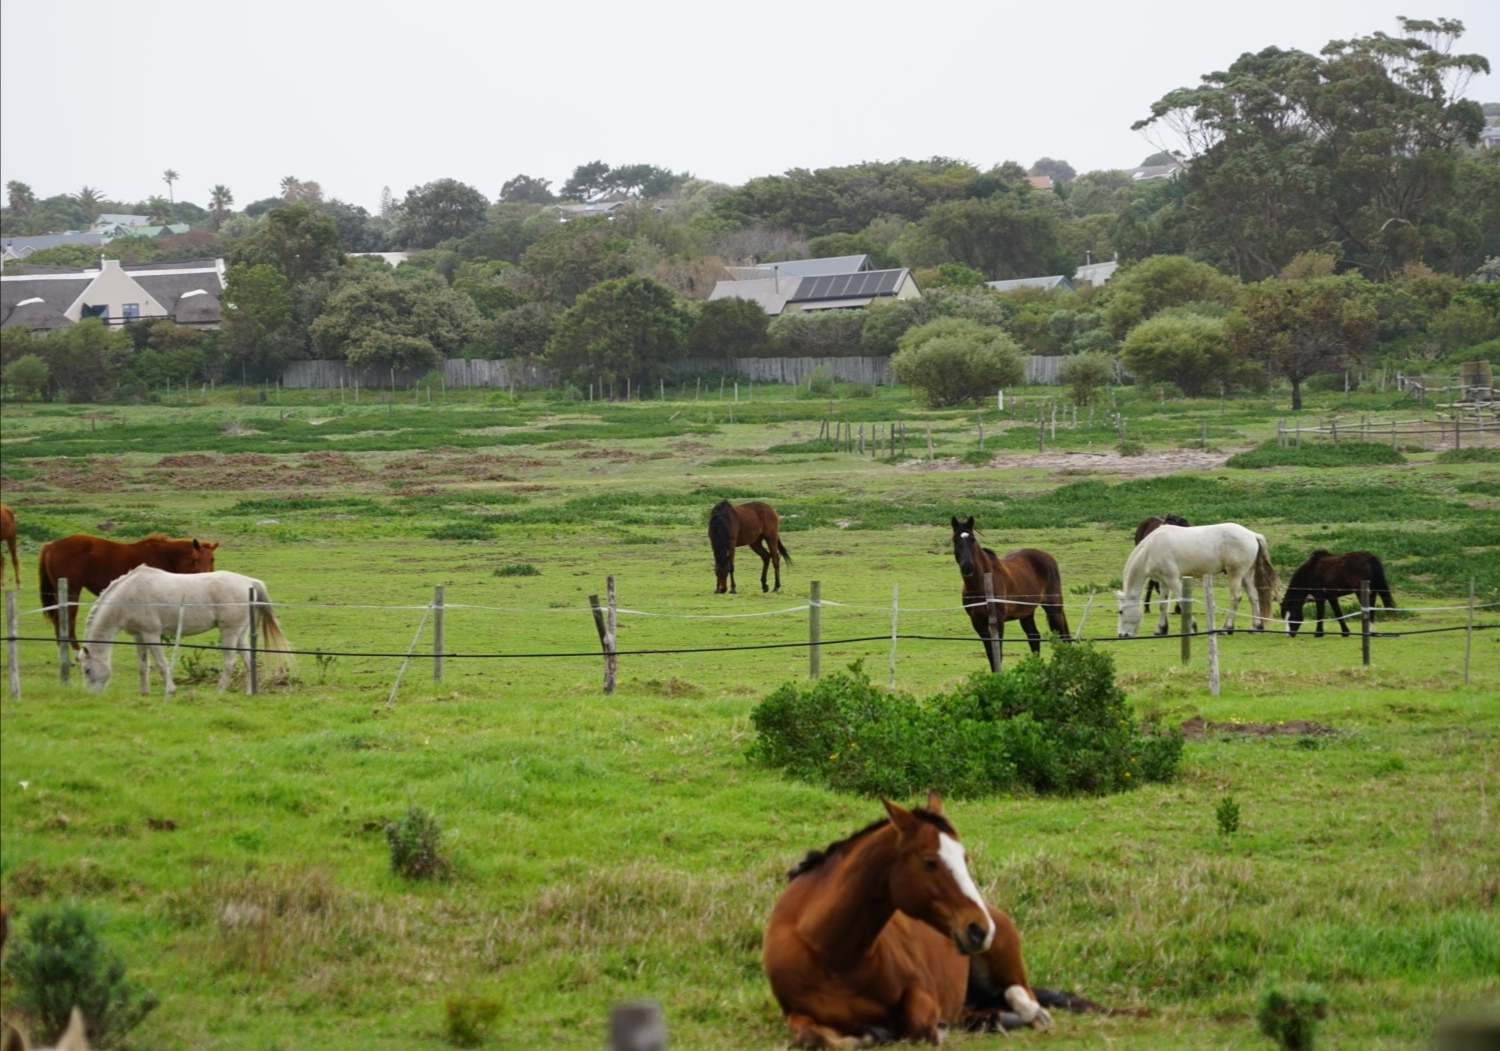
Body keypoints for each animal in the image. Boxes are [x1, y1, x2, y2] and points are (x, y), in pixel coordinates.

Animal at [40, 533, 219, 647]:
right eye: (196, 559)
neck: (165, 557)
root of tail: (52, 545)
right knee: (66, 621)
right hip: (71, 593)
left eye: (212, 559)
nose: (209, 577)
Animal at [79, 560, 292, 692]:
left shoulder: (151, 635)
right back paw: (249, 692)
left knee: (230, 663)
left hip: (229, 632)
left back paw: (218, 692)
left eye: (87, 670)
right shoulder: (138, 637)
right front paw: (144, 693)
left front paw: (171, 690)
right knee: (249, 662)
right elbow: (142, 666)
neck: (129, 594)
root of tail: (249, 582)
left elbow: (161, 664)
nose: (90, 695)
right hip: (240, 635)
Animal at [768, 791, 1110, 1043]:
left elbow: (921, 1027)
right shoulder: (796, 1014)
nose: (980, 929)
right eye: (929, 862)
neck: (835, 956)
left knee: (1023, 998)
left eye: (964, 858)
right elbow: (815, 1038)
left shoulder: (920, 991)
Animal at [948, 515, 1068, 671]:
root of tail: (1046, 555)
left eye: (972, 540)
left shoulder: (998, 621)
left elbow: (998, 653)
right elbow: (991, 654)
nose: (967, 568)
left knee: (1063, 637)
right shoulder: (978, 623)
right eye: (955, 540)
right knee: (1034, 637)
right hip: (1026, 612)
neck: (979, 586)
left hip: (1053, 608)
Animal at [1116, 521, 1278, 635]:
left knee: (1235, 598)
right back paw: (1256, 627)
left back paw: (1227, 628)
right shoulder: (1164, 581)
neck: (1150, 549)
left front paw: (1192, 628)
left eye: (1121, 611)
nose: (1121, 635)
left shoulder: (1173, 579)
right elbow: (1163, 605)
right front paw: (1160, 630)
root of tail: (1252, 535)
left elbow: (1182, 601)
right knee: (1253, 596)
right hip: (1246, 575)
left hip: (1235, 574)